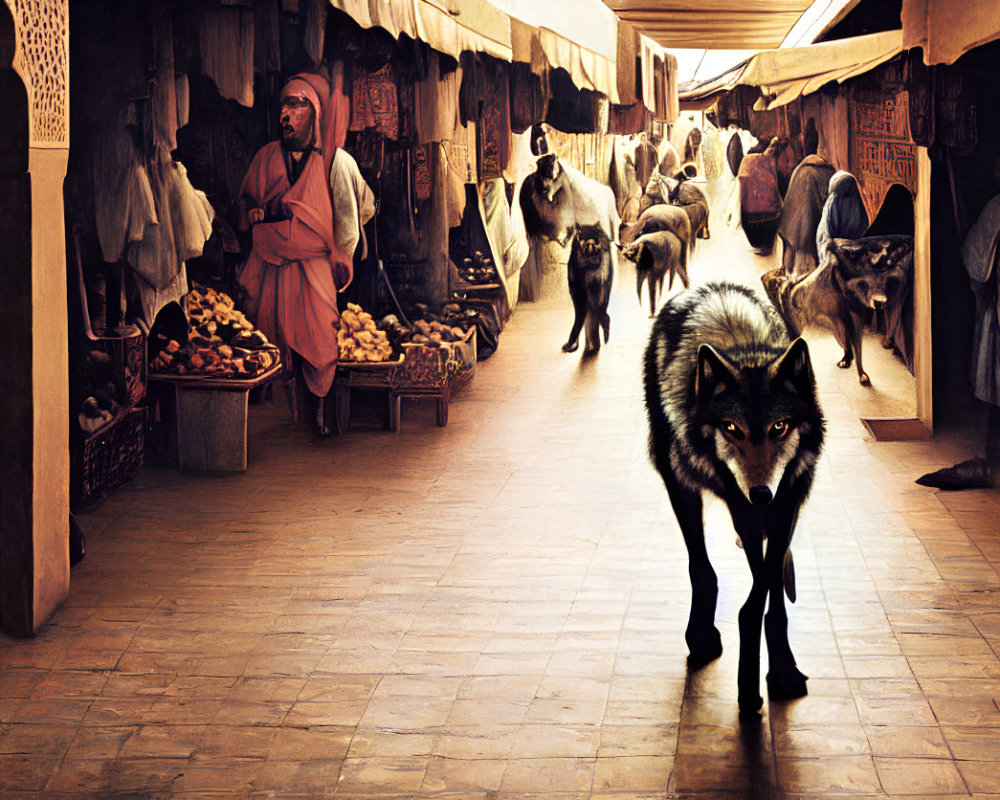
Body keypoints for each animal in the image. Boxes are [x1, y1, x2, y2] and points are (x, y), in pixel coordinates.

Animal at [644, 282, 824, 712]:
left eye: (780, 427)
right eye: (731, 427)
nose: (760, 493)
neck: (744, 347)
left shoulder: (787, 501)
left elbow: (769, 596)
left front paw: (782, 672)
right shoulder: (736, 502)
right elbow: (746, 593)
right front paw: (749, 682)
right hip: (681, 483)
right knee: (701, 565)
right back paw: (701, 636)